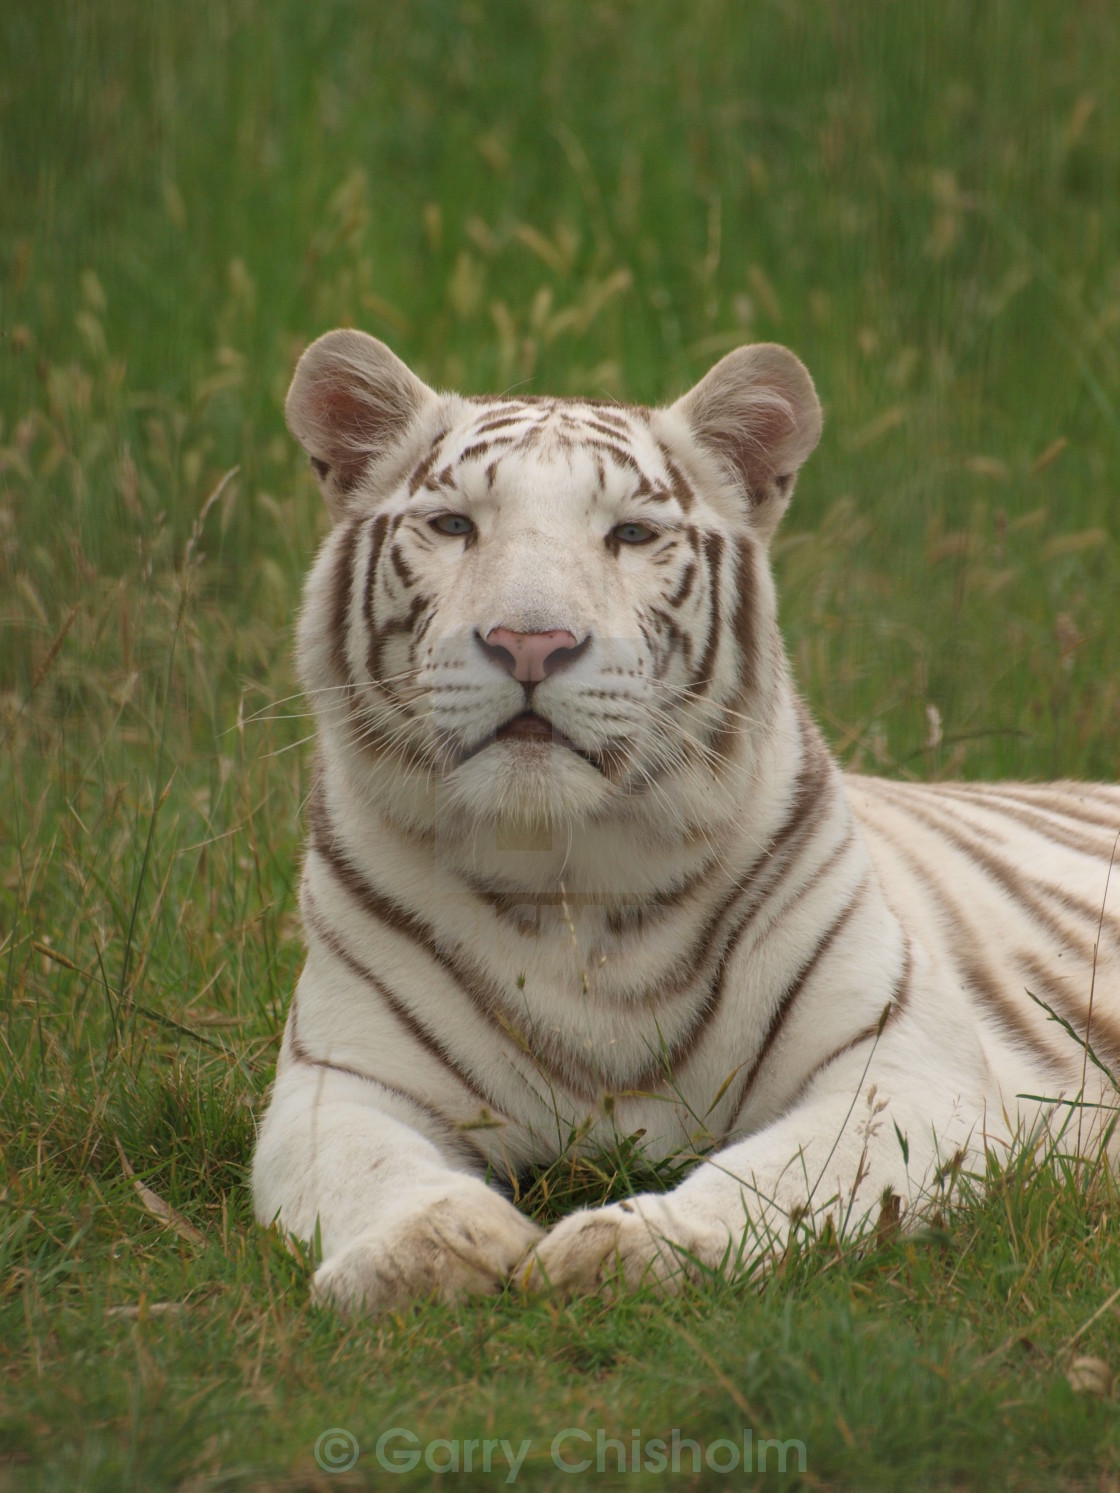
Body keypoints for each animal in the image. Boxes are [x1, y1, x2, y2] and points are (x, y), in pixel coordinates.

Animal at [252, 332, 1120, 1313]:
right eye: (453, 526)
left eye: (630, 534)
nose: (530, 643)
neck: (568, 876)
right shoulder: (340, 1077)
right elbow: (365, 1169)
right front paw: (426, 1250)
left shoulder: (903, 1064)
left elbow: (783, 1176)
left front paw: (627, 1248)